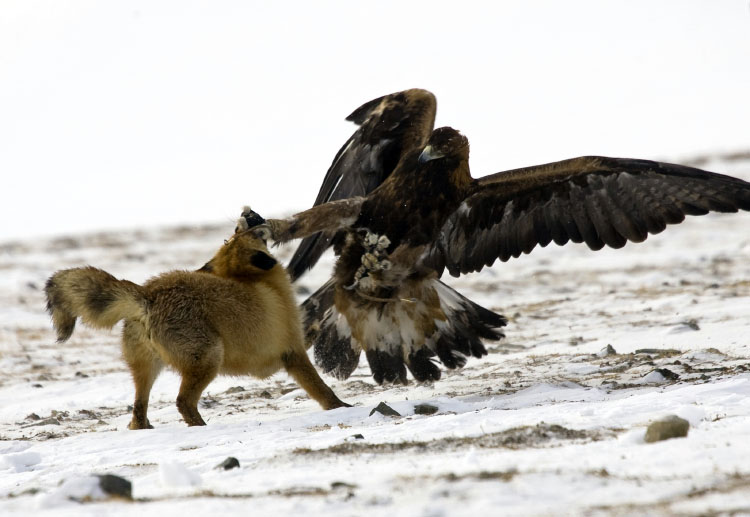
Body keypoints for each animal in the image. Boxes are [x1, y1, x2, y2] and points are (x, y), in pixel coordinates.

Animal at [44, 216, 350, 429]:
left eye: (232, 235)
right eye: (246, 235)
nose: (251, 218)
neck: (259, 283)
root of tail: (148, 295)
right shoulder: (291, 352)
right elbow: (321, 390)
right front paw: (343, 407)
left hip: (146, 369)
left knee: (138, 411)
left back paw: (145, 428)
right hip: (208, 358)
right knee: (182, 403)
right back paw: (201, 428)